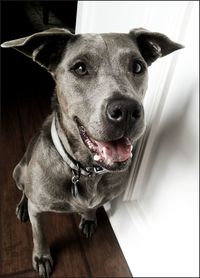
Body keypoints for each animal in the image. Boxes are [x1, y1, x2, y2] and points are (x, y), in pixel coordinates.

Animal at [1, 28, 183, 278]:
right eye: (80, 68)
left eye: (137, 66)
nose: (126, 110)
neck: (85, 170)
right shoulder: (38, 209)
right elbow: (39, 234)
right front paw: (42, 257)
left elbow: (93, 206)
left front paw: (88, 218)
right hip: (18, 171)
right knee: (24, 191)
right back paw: (21, 207)